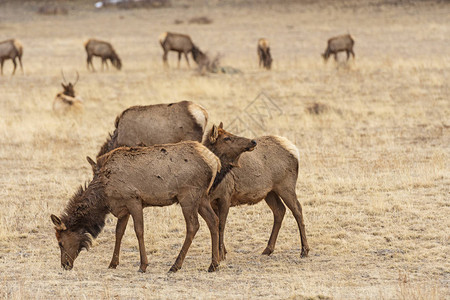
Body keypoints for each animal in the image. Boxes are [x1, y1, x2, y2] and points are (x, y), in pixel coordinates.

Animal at [50, 142, 223, 274]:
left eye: (60, 243)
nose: (65, 265)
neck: (104, 196)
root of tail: (215, 161)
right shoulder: (123, 207)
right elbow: (119, 232)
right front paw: (113, 263)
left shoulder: (134, 200)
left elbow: (139, 231)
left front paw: (143, 265)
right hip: (202, 197)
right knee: (213, 220)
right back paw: (213, 264)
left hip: (188, 196)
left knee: (193, 226)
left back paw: (175, 266)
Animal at [203, 123, 310, 262]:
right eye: (226, 138)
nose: (252, 141)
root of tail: (294, 149)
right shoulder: (210, 202)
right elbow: (215, 224)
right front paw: (223, 253)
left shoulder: (226, 197)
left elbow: (221, 225)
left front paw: (221, 255)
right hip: (270, 192)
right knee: (279, 210)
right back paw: (268, 249)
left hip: (286, 185)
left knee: (297, 209)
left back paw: (304, 250)